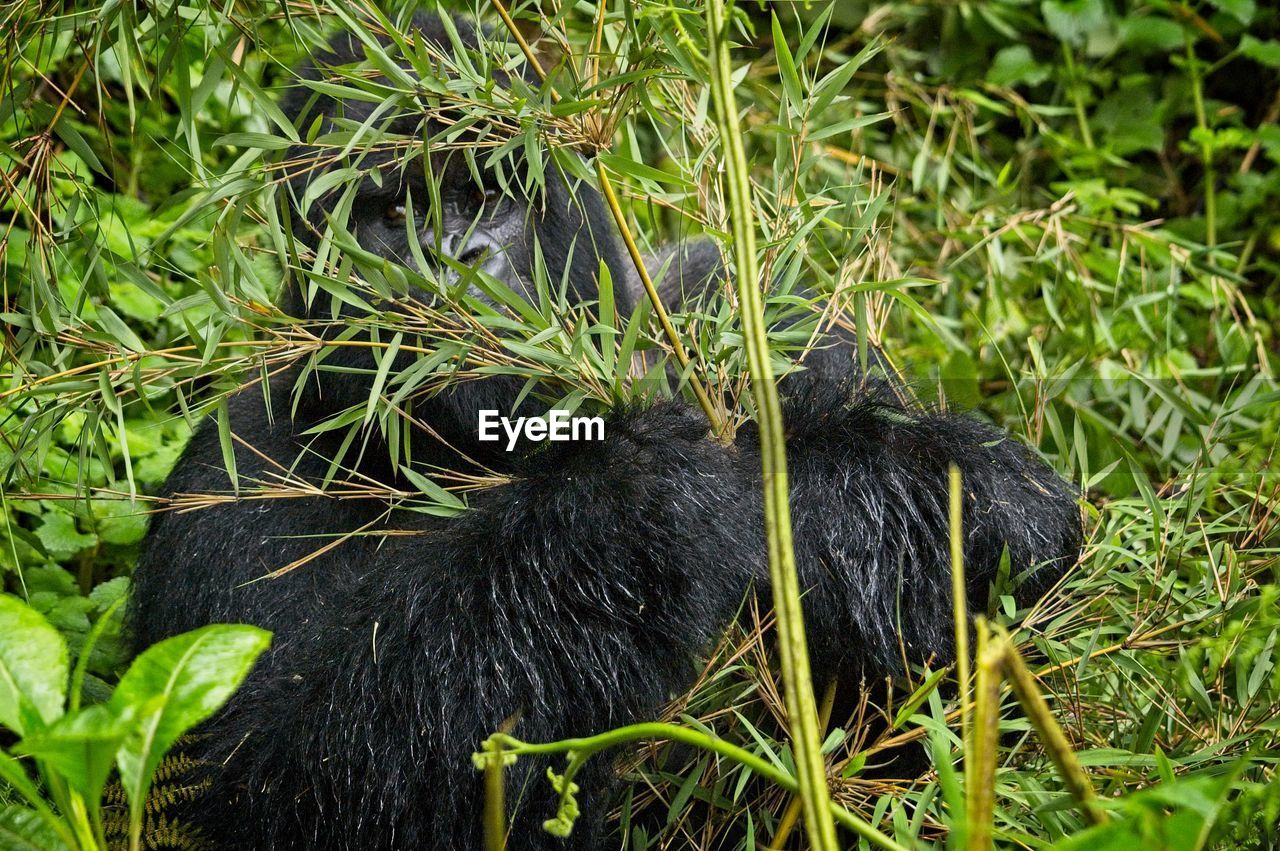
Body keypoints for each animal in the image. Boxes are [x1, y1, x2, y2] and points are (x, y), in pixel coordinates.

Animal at [132, 9, 1080, 844]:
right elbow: (273, 789)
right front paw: (637, 499)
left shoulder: (751, 305)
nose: (456, 262)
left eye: (488, 196)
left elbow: (1016, 520)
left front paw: (796, 481)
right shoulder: (236, 472)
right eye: (392, 216)